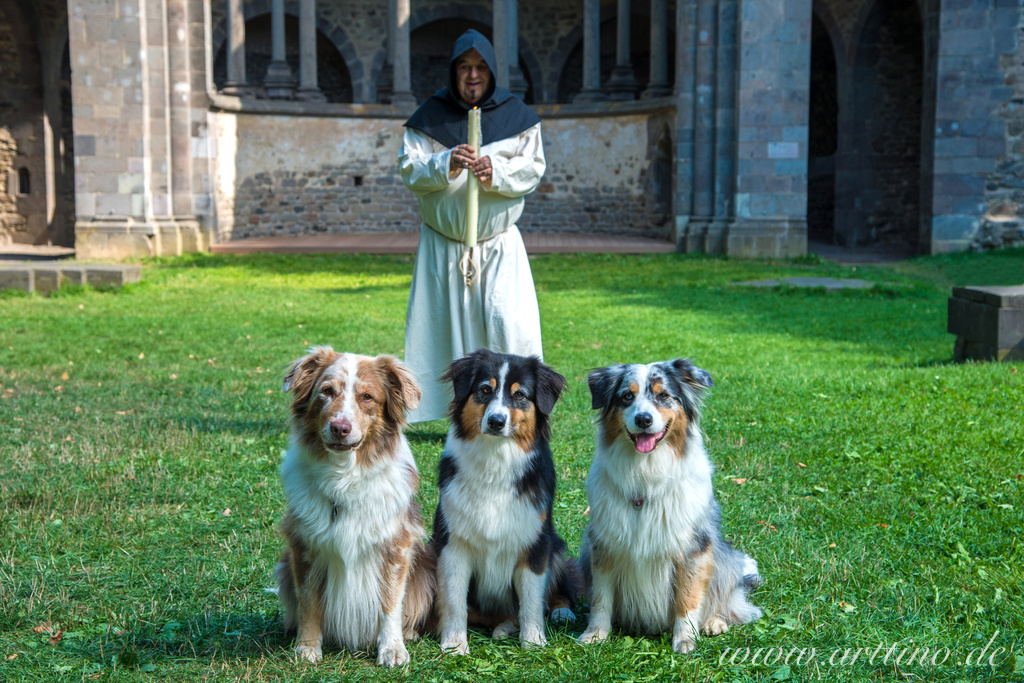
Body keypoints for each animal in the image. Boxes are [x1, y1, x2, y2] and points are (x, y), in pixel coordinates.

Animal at [430, 350, 581, 655]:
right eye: (484, 390)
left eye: (520, 395)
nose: (496, 421)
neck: (495, 461)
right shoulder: (451, 543)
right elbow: (454, 600)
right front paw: (454, 644)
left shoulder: (535, 542)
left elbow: (532, 599)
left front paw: (533, 641)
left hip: (555, 545)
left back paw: (561, 611)